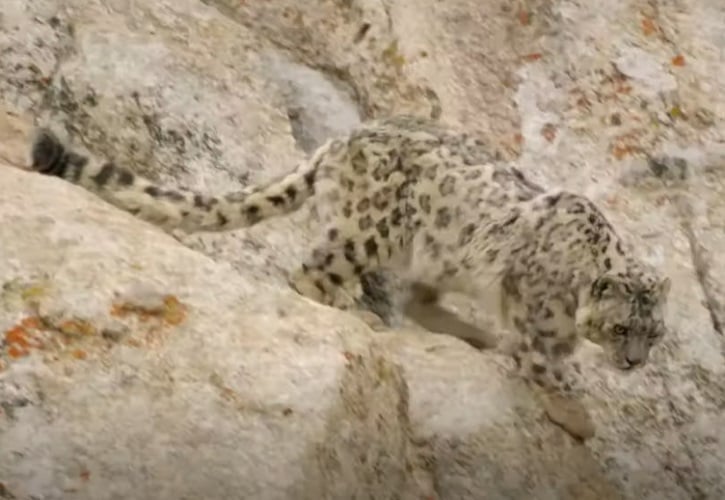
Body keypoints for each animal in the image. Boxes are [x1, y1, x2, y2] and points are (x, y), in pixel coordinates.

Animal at [28, 115, 671, 439]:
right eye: (622, 329)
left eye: (654, 332)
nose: (634, 363)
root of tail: (340, 141)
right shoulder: (536, 315)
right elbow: (546, 366)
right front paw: (578, 416)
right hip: (369, 231)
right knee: (309, 272)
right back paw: (356, 309)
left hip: (428, 249)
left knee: (413, 295)